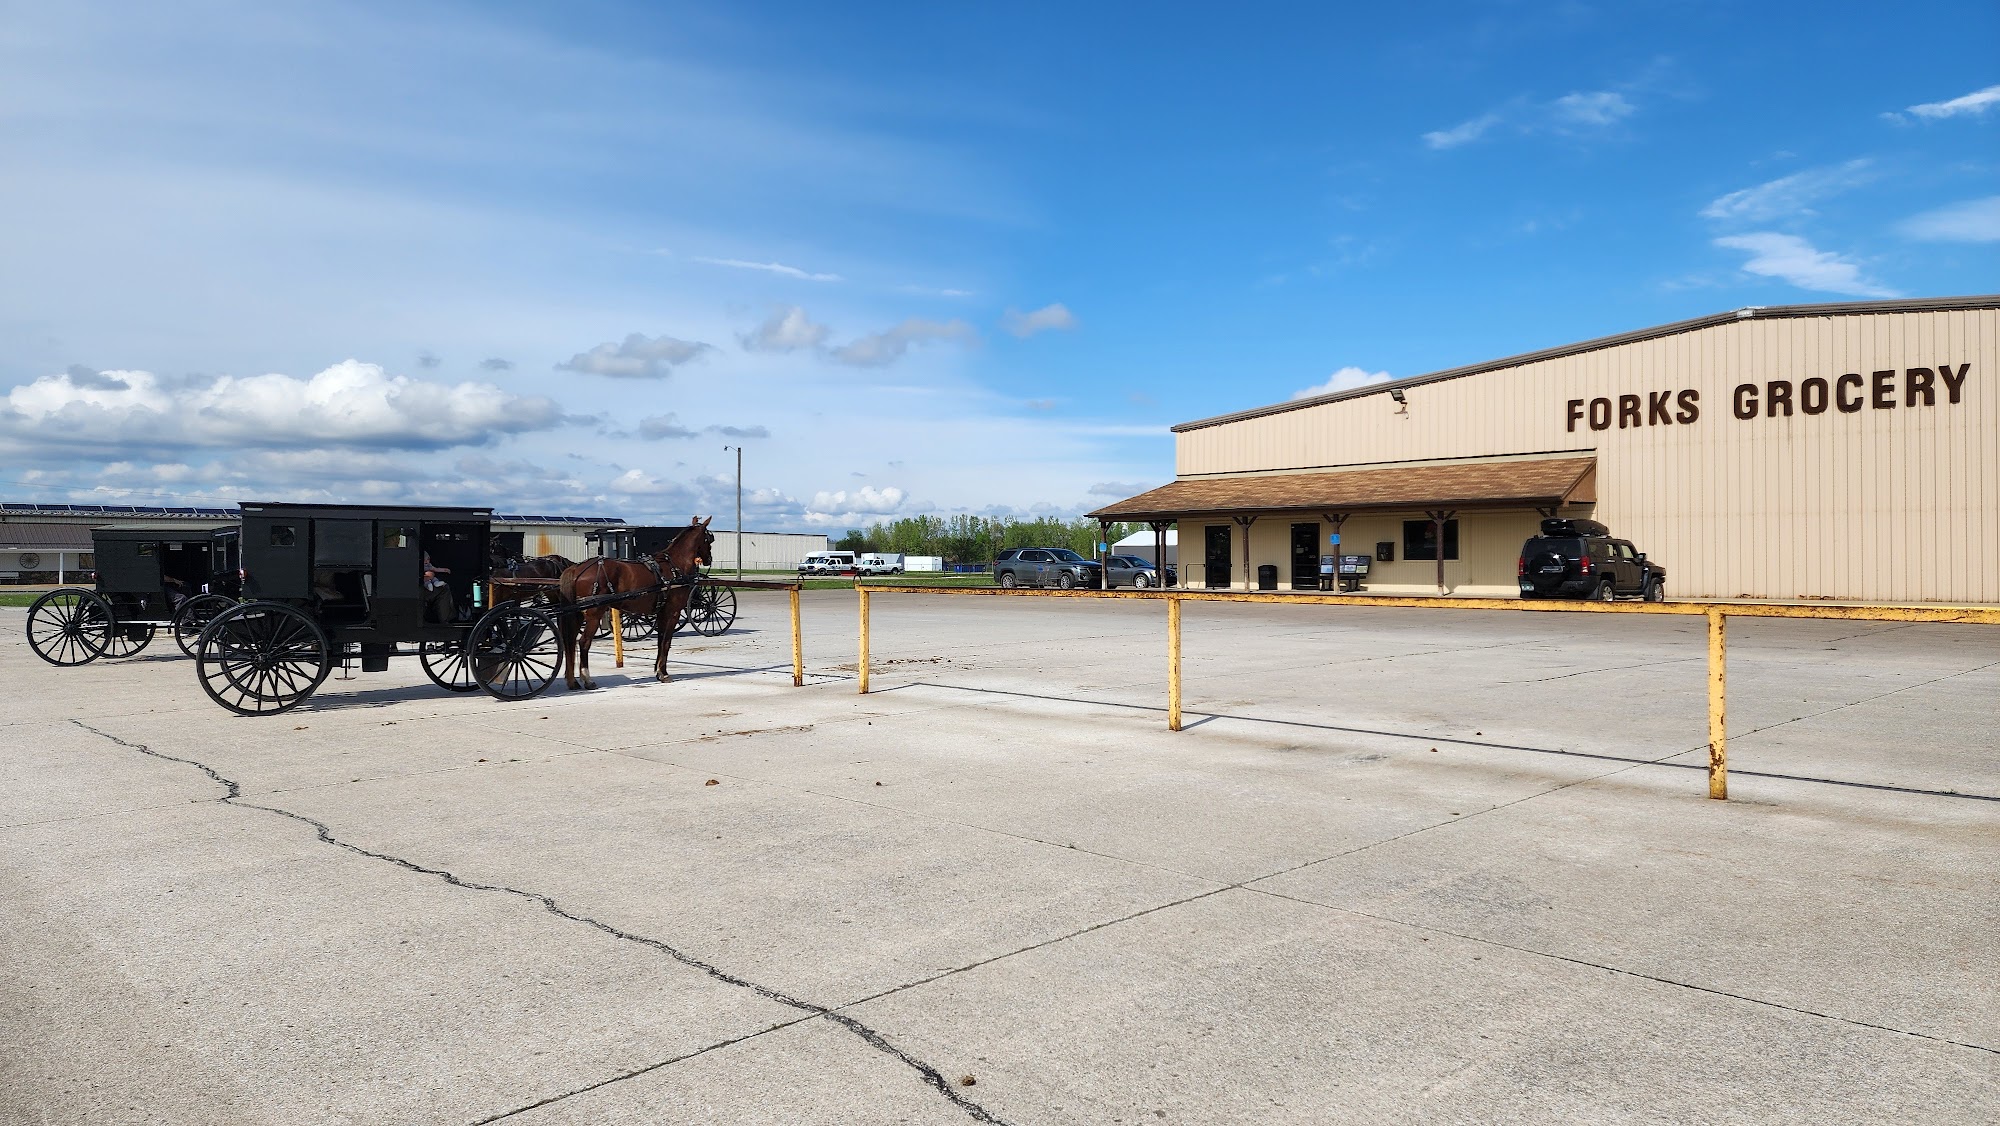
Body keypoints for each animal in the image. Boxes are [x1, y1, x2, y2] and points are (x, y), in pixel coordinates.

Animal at [560, 516, 716, 692]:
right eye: (709, 538)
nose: (709, 559)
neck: (675, 565)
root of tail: (576, 568)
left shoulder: (661, 613)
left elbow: (660, 641)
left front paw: (658, 671)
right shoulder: (673, 612)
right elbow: (667, 642)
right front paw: (664, 673)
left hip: (578, 615)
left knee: (570, 642)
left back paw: (572, 681)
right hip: (594, 613)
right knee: (583, 642)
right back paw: (587, 679)